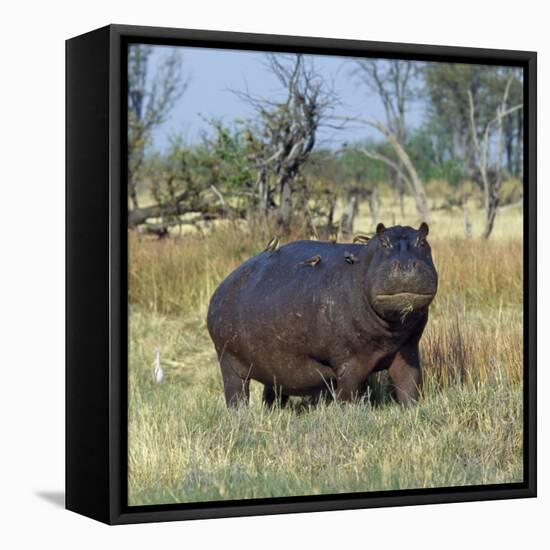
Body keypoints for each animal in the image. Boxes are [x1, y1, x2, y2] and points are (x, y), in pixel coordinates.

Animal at [207, 224, 440, 410]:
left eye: (422, 241)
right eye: (383, 242)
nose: (405, 265)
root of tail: (221, 287)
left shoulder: (407, 349)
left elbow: (409, 384)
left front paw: (412, 410)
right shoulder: (349, 360)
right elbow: (348, 393)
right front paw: (350, 414)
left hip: (269, 366)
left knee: (271, 392)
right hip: (229, 362)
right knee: (236, 394)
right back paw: (239, 415)